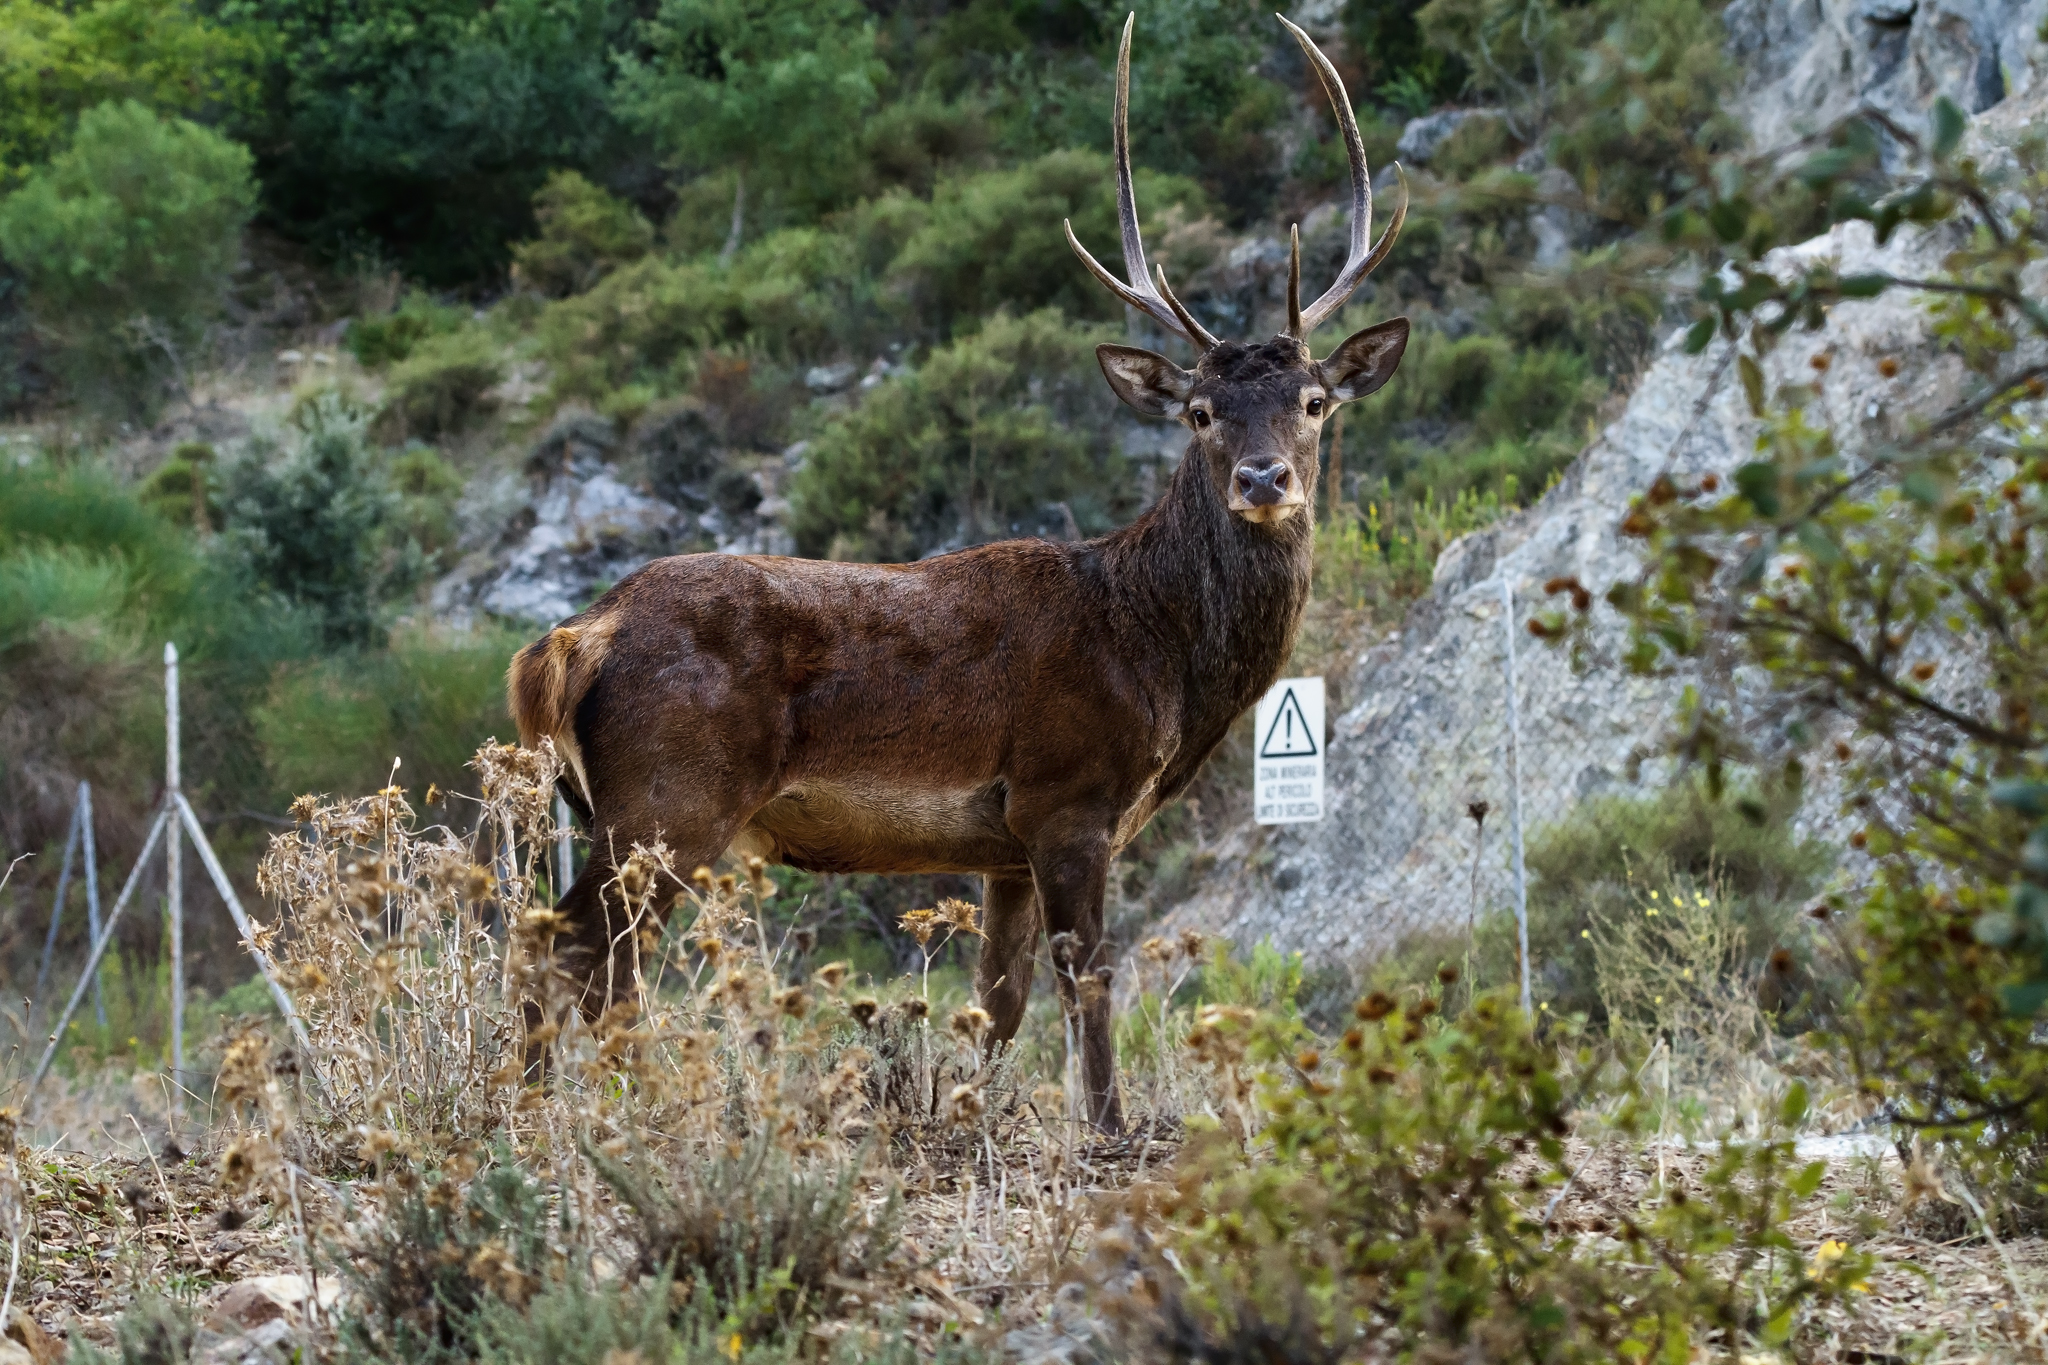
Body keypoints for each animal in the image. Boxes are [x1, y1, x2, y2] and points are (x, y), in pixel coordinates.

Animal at [507, 11, 1407, 1132]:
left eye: (1314, 400)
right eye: (1199, 410)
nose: (1262, 476)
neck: (1155, 651)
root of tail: (570, 640)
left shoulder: (1002, 844)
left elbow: (998, 1001)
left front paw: (969, 1117)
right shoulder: (1068, 794)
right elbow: (1087, 975)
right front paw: (1105, 1132)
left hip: (607, 809)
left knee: (574, 955)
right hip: (669, 798)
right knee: (575, 955)